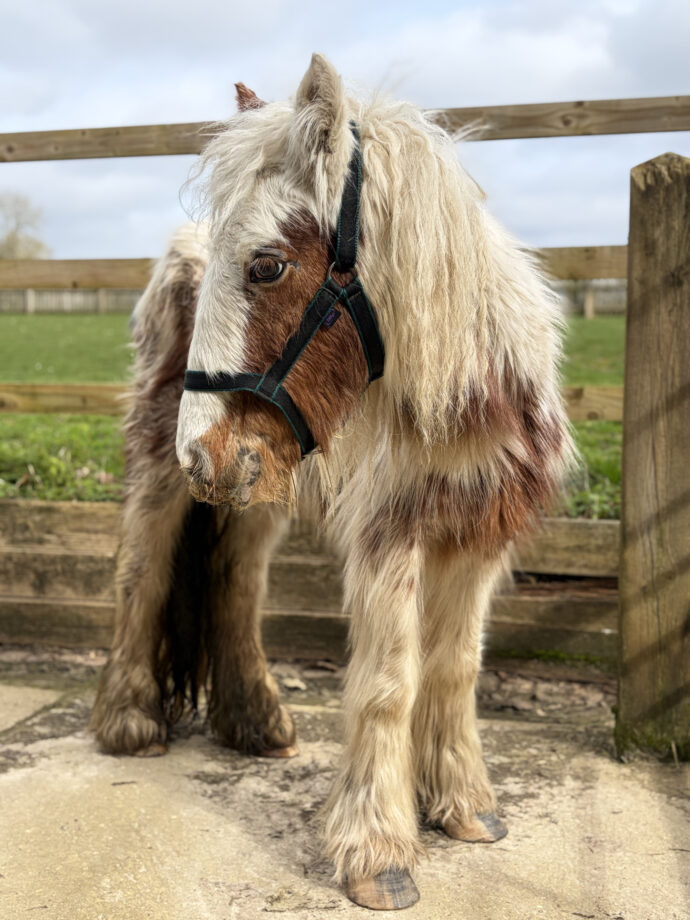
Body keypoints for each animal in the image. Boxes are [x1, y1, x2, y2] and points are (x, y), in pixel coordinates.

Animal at [90, 54, 572, 910]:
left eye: (267, 265)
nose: (198, 453)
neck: (452, 396)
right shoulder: (390, 533)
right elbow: (388, 682)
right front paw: (379, 851)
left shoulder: (478, 533)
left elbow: (455, 667)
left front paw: (465, 806)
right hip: (162, 458)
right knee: (142, 567)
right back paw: (130, 723)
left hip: (256, 482)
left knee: (236, 579)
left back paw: (258, 724)